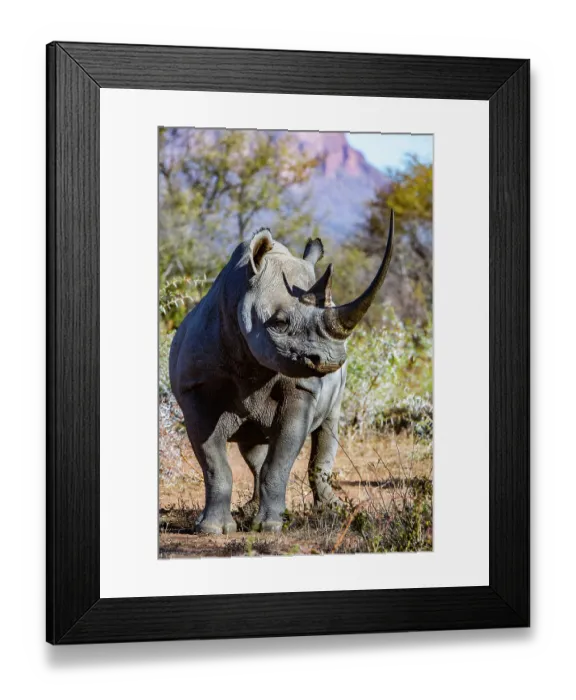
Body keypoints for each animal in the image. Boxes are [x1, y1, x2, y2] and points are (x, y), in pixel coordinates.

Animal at [169, 211, 394, 534]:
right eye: (278, 323)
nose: (331, 360)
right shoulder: (195, 390)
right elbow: (214, 464)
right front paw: (212, 529)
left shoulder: (301, 388)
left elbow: (279, 461)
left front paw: (270, 526)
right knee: (252, 449)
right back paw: (249, 509)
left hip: (338, 390)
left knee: (328, 428)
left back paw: (331, 510)